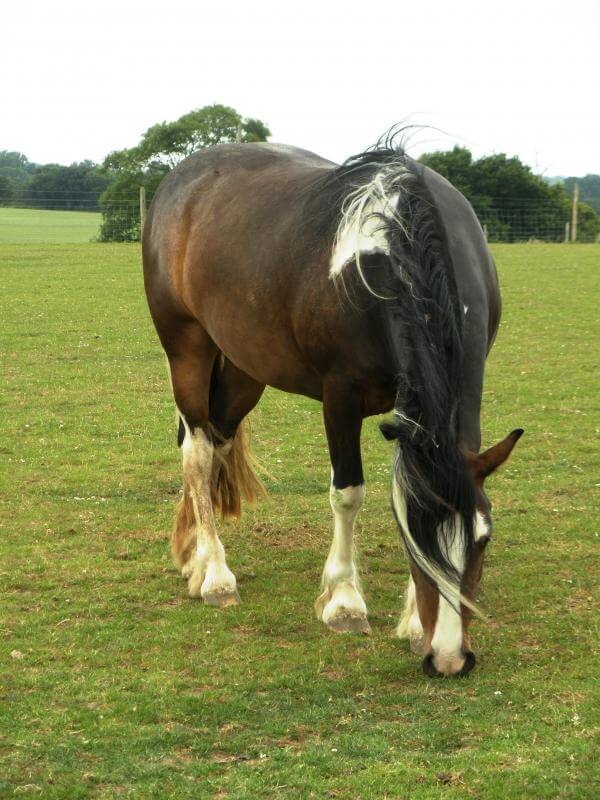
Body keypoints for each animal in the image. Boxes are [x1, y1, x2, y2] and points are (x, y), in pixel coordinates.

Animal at [143, 138, 524, 676]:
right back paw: (216, 573)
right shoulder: (340, 398)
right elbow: (348, 494)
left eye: (483, 539)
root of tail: (182, 178)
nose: (450, 660)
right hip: (186, 349)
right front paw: (345, 602)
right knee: (196, 452)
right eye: (413, 542)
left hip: (244, 368)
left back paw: (194, 556)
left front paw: (413, 622)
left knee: (217, 441)